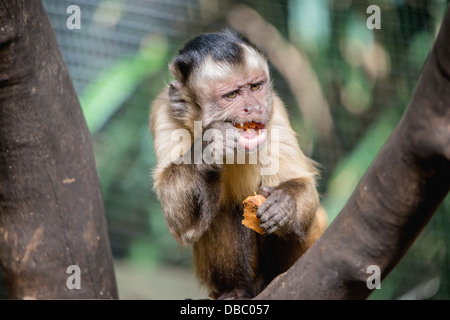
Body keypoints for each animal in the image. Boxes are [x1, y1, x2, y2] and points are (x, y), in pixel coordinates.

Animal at [151, 28, 326, 298]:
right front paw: (208, 146)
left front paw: (284, 205)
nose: (253, 107)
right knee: (219, 210)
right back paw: (235, 291)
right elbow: (181, 225)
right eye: (232, 95)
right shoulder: (165, 112)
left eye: (255, 87)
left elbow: (301, 184)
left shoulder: (274, 108)